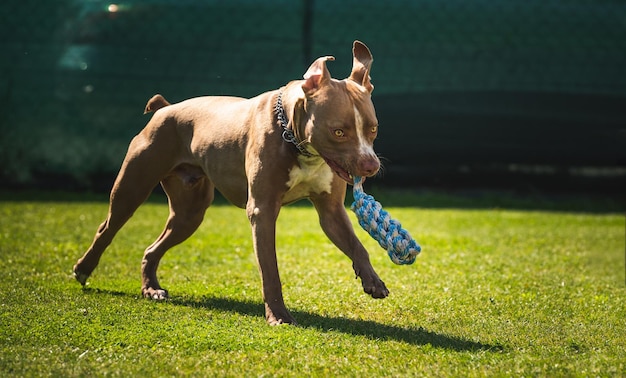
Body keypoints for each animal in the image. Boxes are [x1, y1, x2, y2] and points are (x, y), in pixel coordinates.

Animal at [72, 40, 386, 324]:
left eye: (373, 129)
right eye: (338, 132)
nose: (371, 166)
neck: (295, 141)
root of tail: (166, 108)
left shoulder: (331, 211)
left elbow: (357, 245)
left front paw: (373, 281)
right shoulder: (262, 211)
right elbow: (270, 269)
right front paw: (278, 316)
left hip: (190, 213)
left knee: (153, 248)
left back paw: (151, 289)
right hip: (131, 189)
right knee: (107, 228)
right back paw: (84, 269)